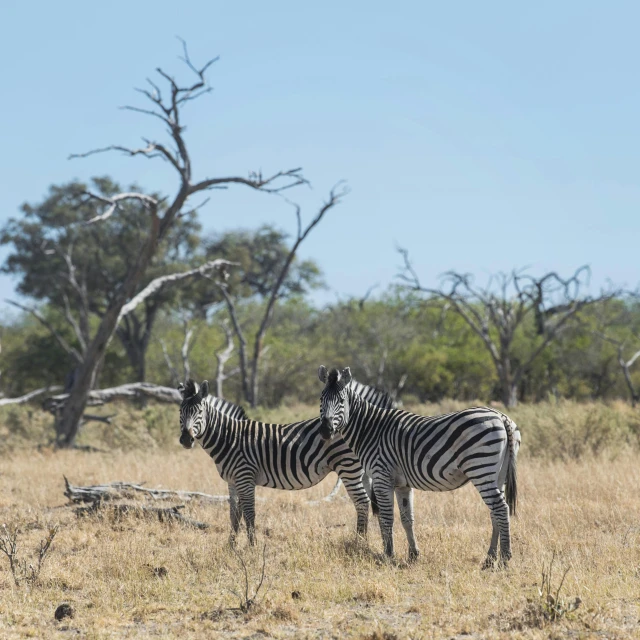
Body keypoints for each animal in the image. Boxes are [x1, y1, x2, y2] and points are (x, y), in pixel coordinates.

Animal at [178, 378, 376, 548]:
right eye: (180, 412)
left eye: (199, 412)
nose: (186, 440)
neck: (228, 438)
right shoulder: (233, 481)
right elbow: (234, 514)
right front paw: (231, 547)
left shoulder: (245, 477)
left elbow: (249, 513)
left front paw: (252, 547)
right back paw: (362, 541)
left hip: (347, 466)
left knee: (362, 502)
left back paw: (360, 542)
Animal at [316, 368, 520, 568]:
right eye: (321, 399)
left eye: (341, 401)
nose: (325, 431)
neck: (371, 430)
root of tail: (501, 416)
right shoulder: (402, 484)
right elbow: (407, 519)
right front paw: (413, 555)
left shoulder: (382, 477)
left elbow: (387, 518)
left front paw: (388, 556)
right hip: (498, 474)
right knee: (495, 511)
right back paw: (489, 559)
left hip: (481, 468)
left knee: (500, 508)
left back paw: (504, 559)